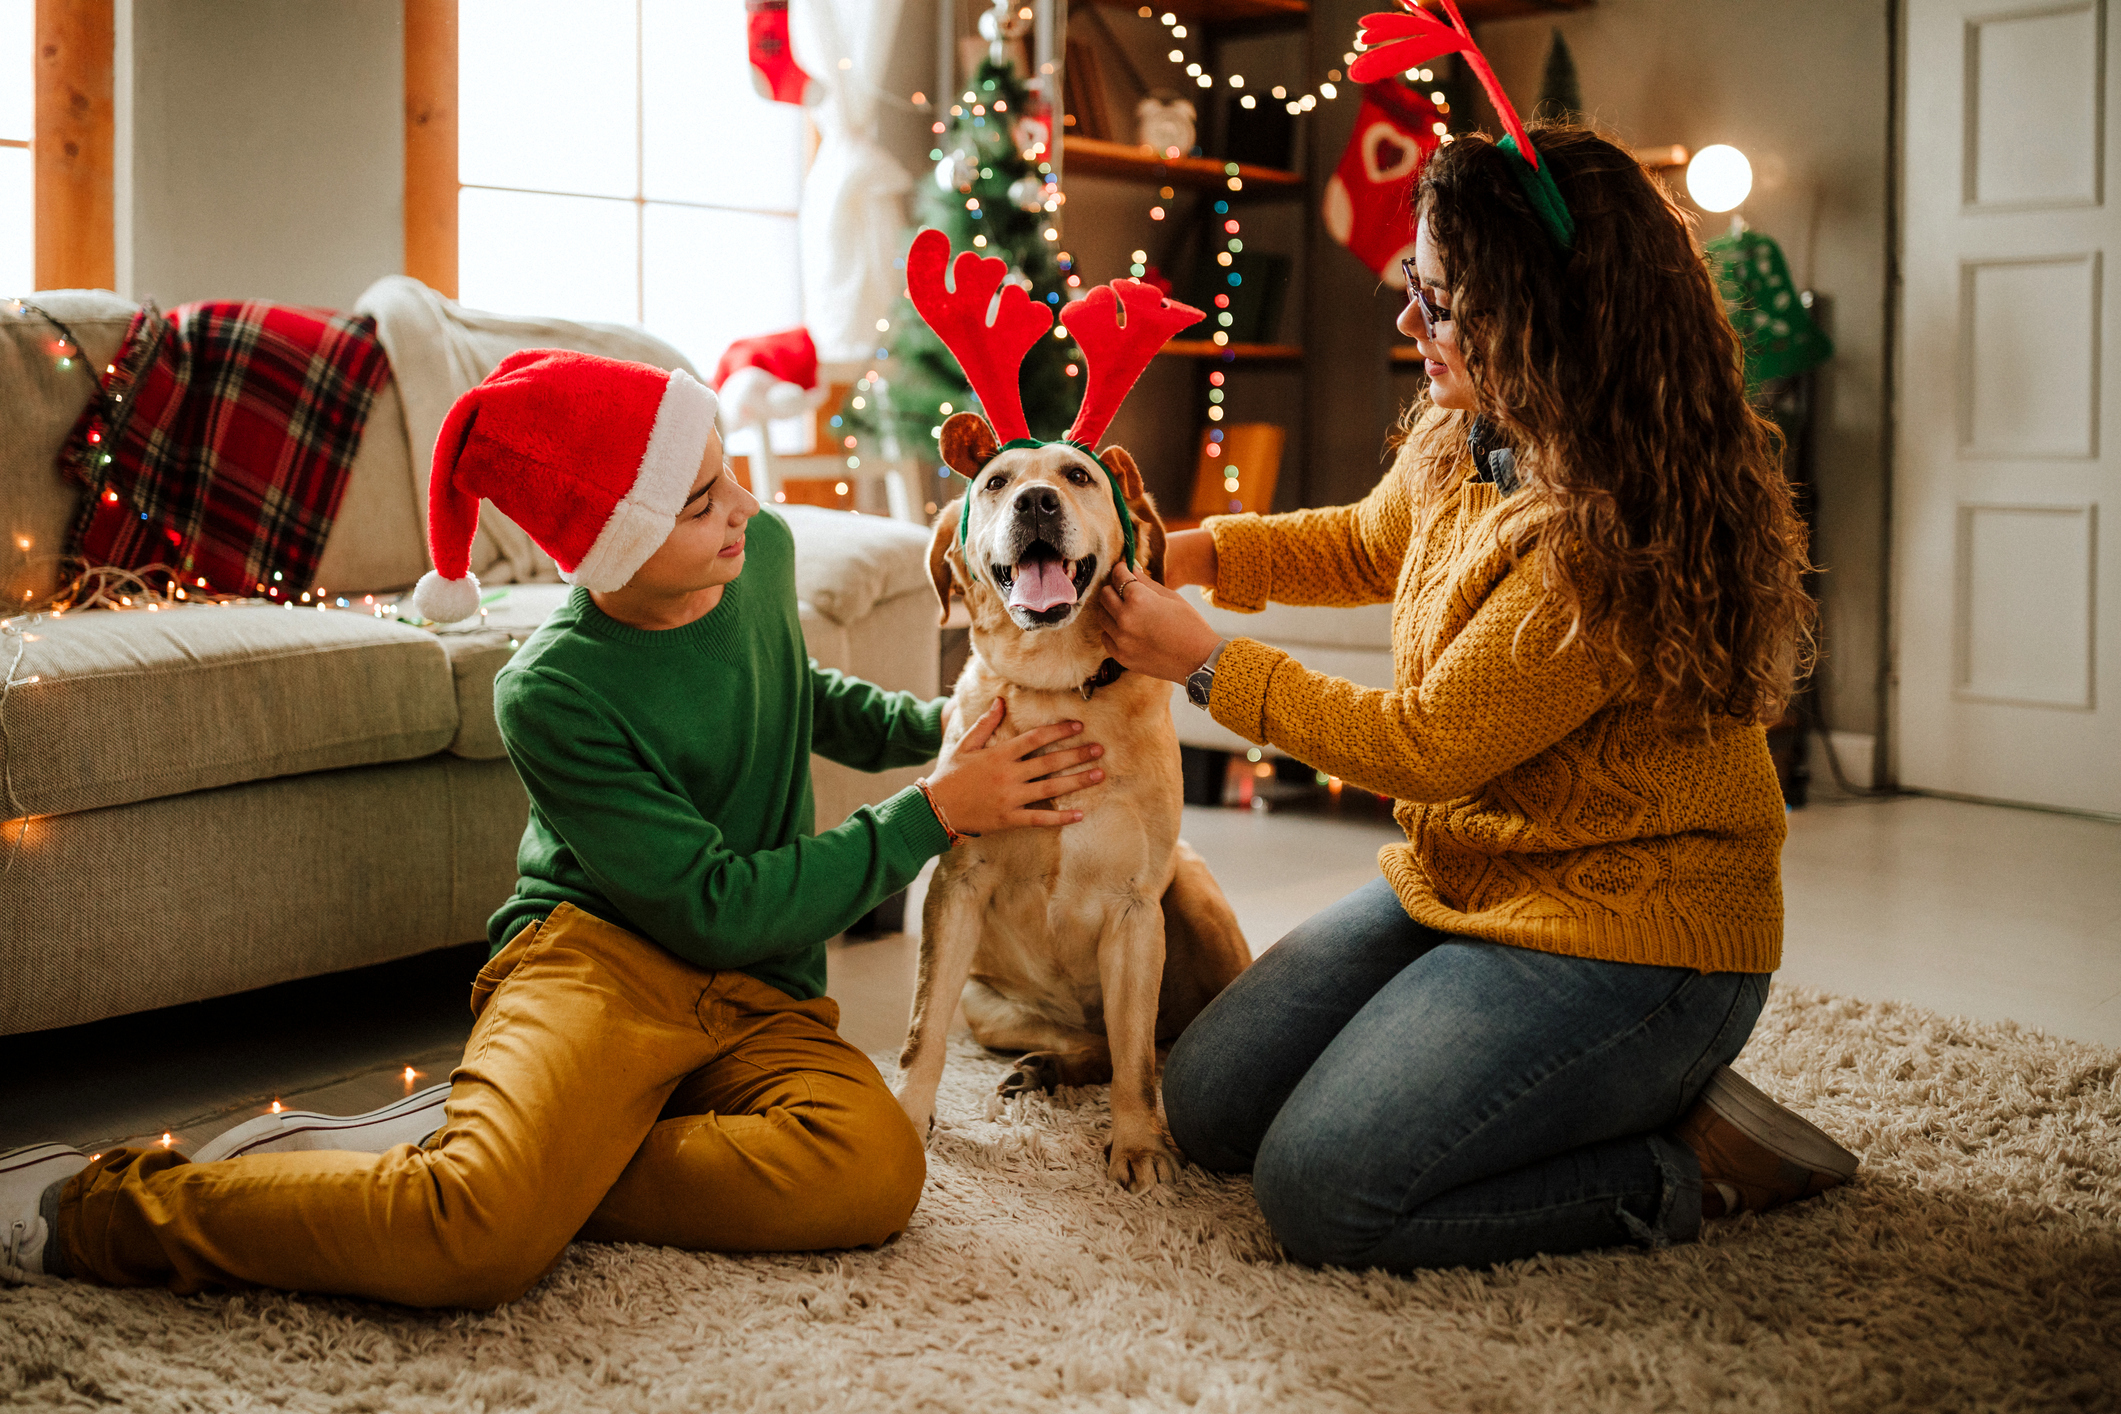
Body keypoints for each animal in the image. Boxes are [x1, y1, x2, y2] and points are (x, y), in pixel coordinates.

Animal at [890, 411, 1247, 1195]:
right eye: (996, 483)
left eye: (1078, 476)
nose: (1035, 503)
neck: (1057, 686)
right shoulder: (957, 891)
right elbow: (922, 1028)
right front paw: (907, 1117)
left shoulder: (1136, 911)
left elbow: (1137, 1061)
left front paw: (1139, 1144)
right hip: (988, 1004)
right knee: (1097, 1040)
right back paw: (1043, 1068)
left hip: (1195, 893)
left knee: (1151, 1043)